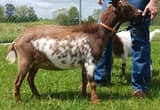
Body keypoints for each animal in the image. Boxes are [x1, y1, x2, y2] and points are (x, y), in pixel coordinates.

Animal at [5, 0, 142, 103]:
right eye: (126, 6)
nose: (141, 13)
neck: (98, 34)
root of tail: (17, 40)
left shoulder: (84, 63)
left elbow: (84, 81)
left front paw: (84, 96)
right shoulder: (90, 61)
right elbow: (92, 83)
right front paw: (96, 100)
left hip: (35, 63)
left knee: (30, 78)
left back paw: (38, 96)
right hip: (25, 61)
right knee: (18, 81)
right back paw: (18, 101)